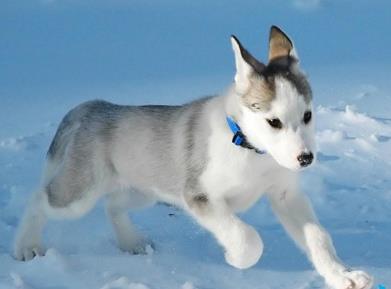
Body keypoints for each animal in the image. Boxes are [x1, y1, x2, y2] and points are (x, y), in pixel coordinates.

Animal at [13, 25, 372, 286]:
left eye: (308, 115)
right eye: (274, 122)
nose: (305, 159)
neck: (249, 149)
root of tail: (91, 107)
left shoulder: (285, 195)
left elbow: (319, 237)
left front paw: (343, 276)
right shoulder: (199, 196)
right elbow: (247, 237)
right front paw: (235, 258)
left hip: (144, 188)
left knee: (113, 205)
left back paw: (131, 242)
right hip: (79, 194)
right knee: (39, 198)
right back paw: (26, 247)